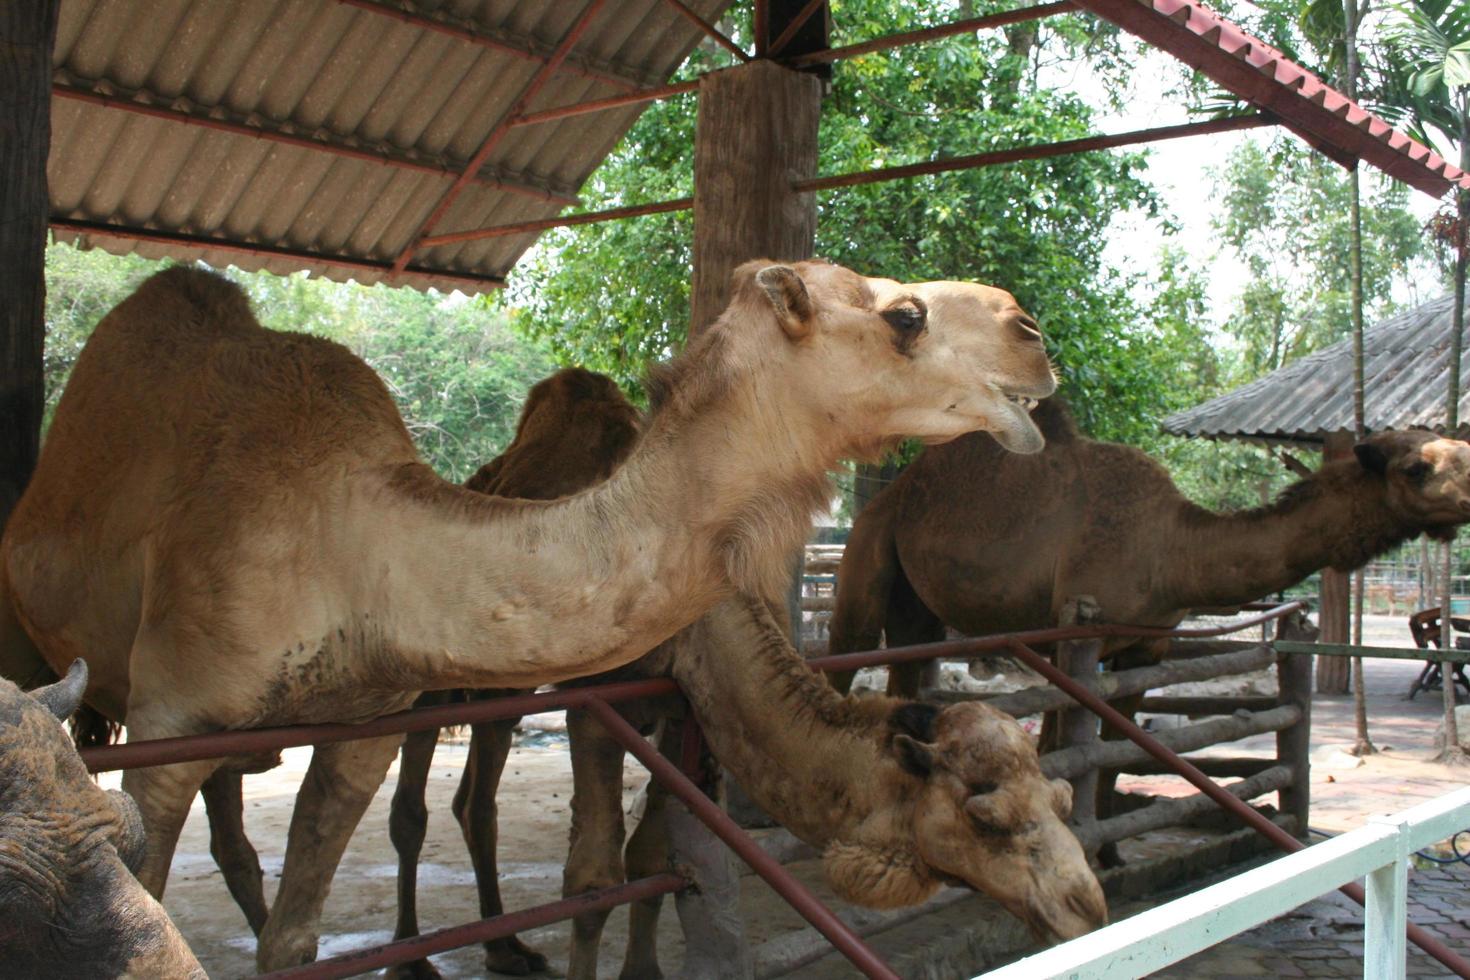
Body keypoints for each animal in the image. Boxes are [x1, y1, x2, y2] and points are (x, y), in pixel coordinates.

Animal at [2, 257, 1058, 969]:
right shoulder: (170, 720)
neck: (349, 543)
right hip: (39, 652)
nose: (1031, 332)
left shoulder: (366, 724)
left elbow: (297, 942)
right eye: (904, 315)